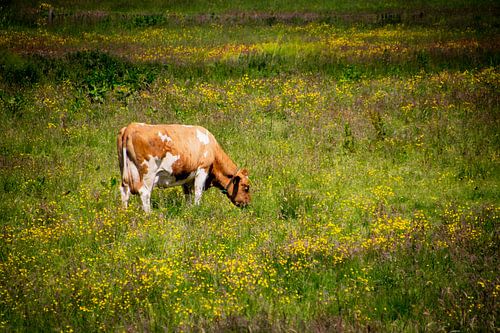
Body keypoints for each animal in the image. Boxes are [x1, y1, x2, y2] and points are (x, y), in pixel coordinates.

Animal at [116, 122, 250, 213]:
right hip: (148, 173)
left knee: (124, 191)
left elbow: (188, 194)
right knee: (145, 193)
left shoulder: (187, 176)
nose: (247, 204)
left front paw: (189, 210)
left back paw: (124, 214)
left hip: (126, 172)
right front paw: (197, 209)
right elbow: (198, 192)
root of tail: (131, 127)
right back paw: (150, 215)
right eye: (246, 187)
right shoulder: (202, 169)